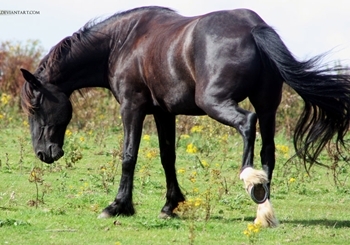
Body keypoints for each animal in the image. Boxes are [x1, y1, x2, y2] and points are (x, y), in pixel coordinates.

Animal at [20, 6, 350, 228]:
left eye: (35, 106)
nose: (43, 153)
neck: (122, 42)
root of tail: (253, 27)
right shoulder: (164, 112)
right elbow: (168, 157)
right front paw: (171, 205)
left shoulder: (132, 107)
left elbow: (129, 156)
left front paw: (118, 206)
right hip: (268, 106)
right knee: (268, 149)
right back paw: (263, 210)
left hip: (215, 102)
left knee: (247, 123)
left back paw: (250, 180)